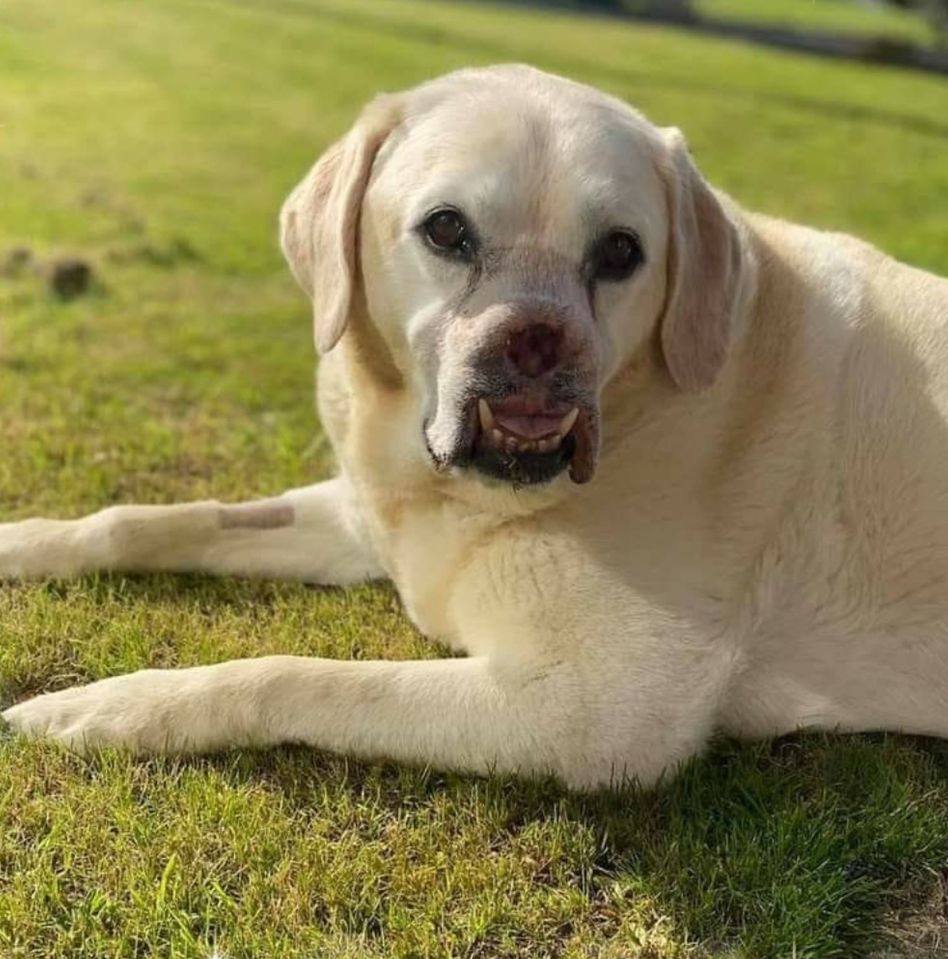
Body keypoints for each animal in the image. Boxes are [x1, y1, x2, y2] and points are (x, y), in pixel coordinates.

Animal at [1, 65, 948, 788]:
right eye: (447, 228)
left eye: (621, 251)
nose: (536, 341)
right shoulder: (367, 519)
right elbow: (152, 519)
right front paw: (25, 542)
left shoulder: (593, 707)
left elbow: (301, 677)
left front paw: (115, 704)